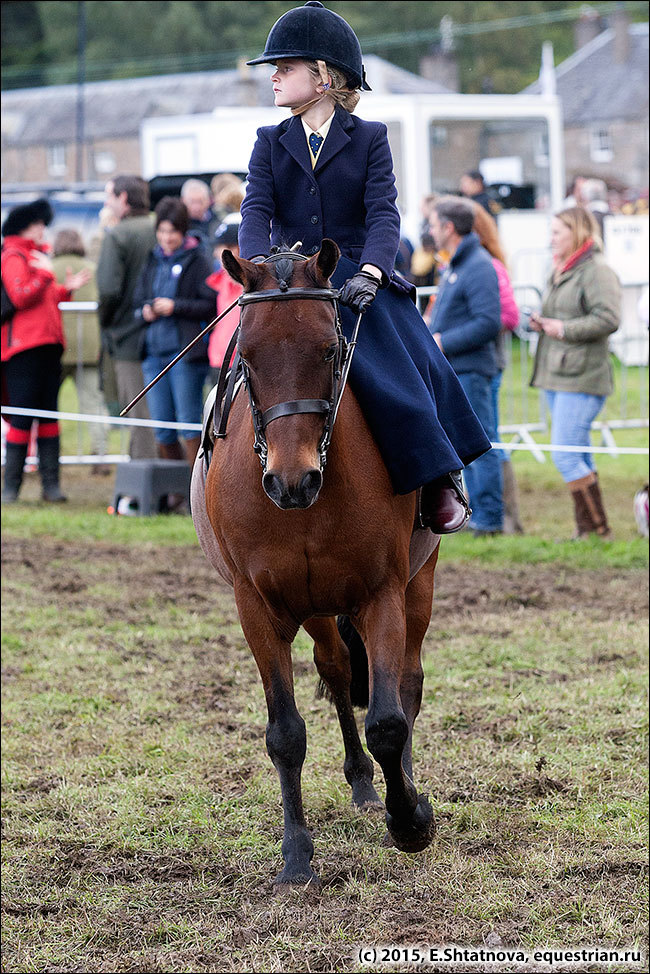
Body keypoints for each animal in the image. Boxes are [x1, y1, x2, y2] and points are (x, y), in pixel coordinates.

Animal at [190, 240, 438, 888]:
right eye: (247, 358)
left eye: (328, 348)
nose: (291, 480)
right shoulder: (257, 607)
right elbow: (285, 733)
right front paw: (297, 856)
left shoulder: (382, 592)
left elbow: (388, 720)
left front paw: (411, 822)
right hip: (316, 605)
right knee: (336, 667)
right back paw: (363, 785)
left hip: (418, 582)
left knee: (406, 683)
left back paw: (404, 789)